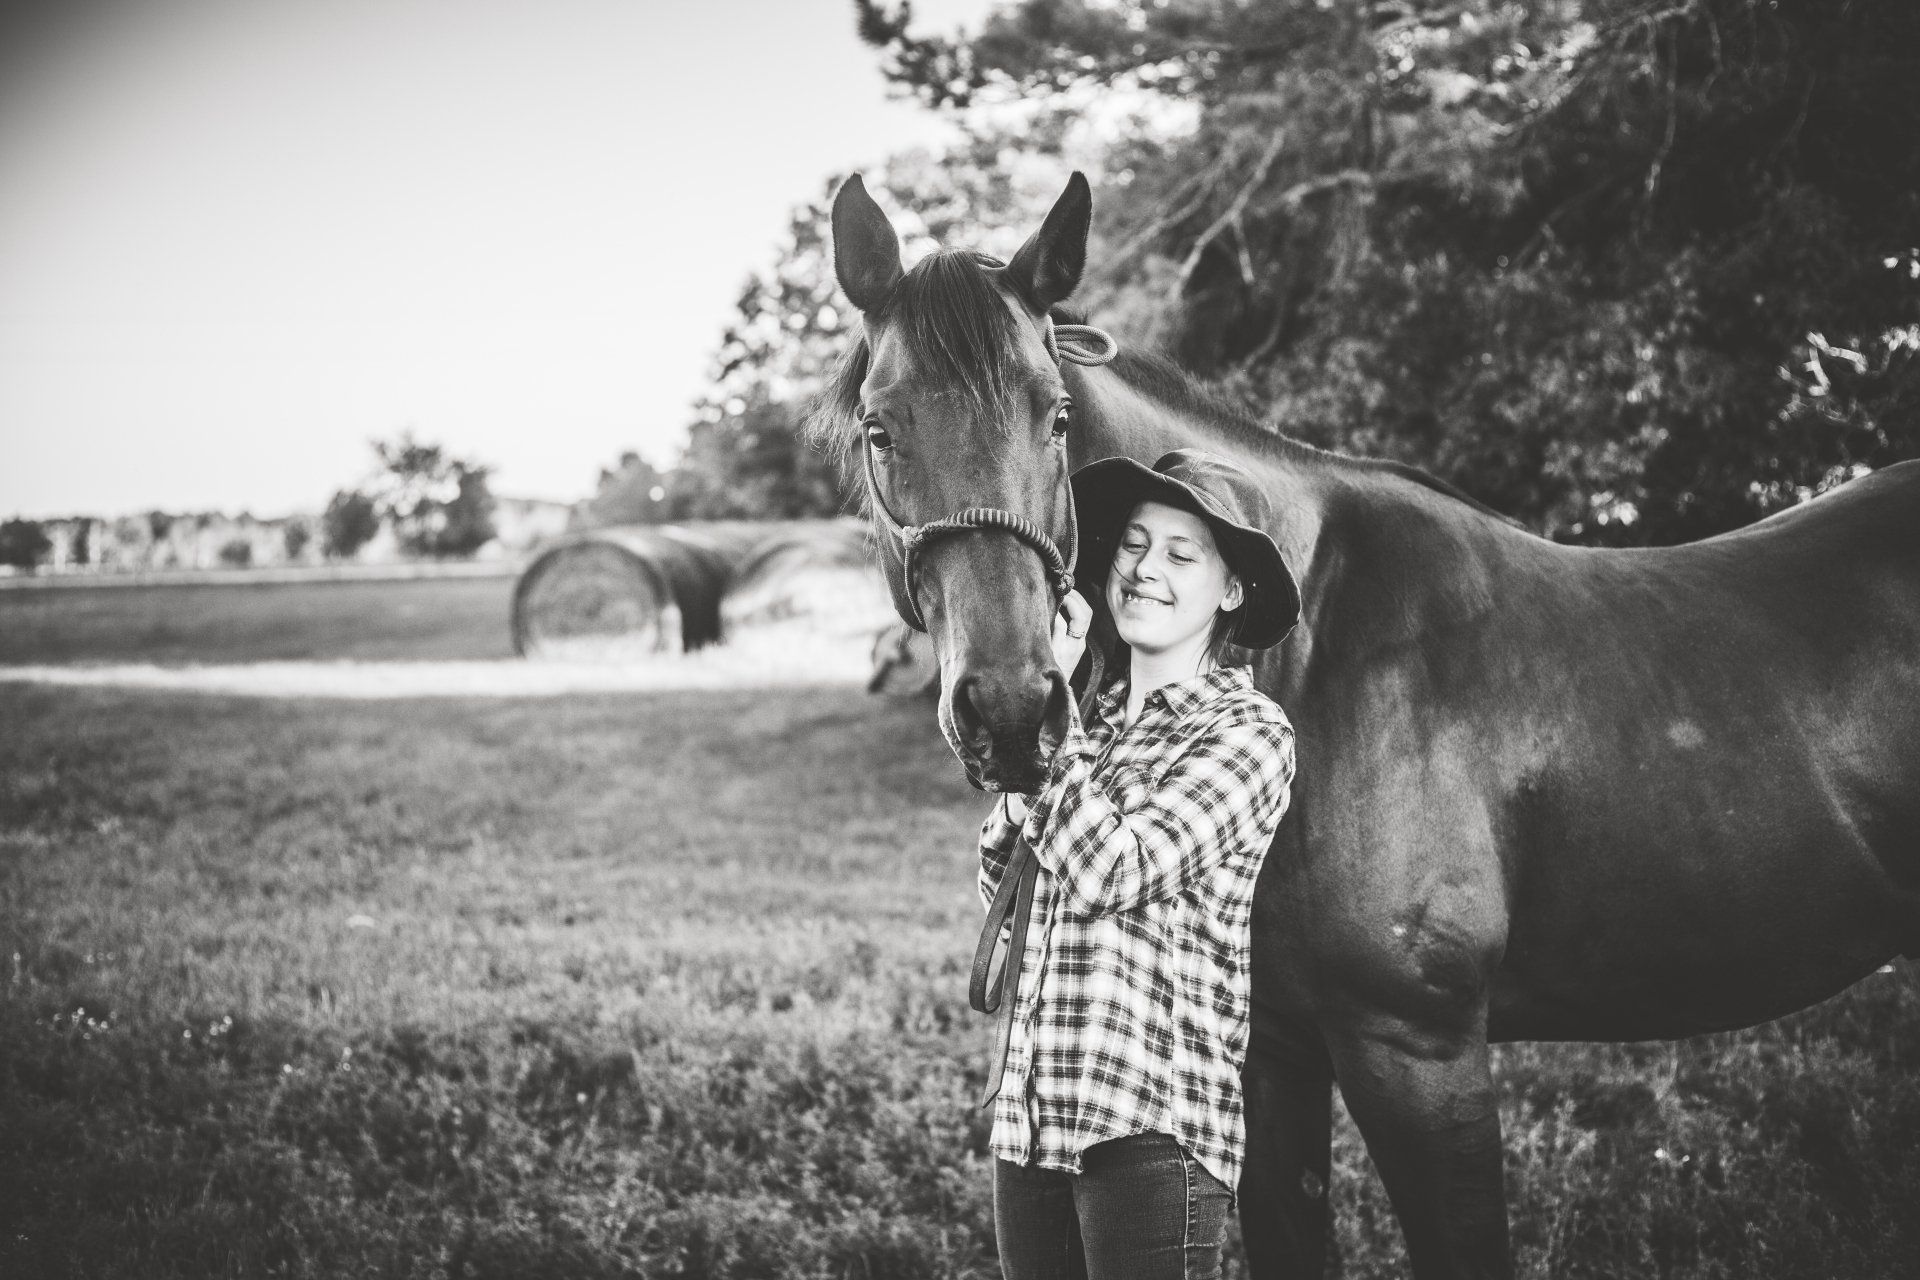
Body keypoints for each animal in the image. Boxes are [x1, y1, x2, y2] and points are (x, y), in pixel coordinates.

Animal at [812, 170, 1920, 1279]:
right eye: (880, 429)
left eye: (1054, 418)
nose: (1010, 710)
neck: (1314, 651)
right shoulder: (1271, 1053)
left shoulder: (1418, 1050)